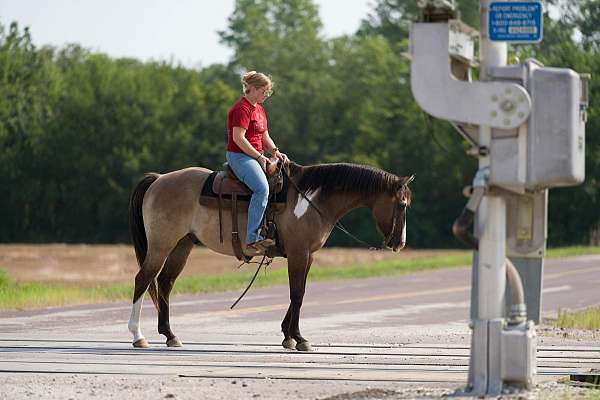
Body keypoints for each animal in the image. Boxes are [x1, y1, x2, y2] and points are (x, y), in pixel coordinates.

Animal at [126, 162, 412, 350]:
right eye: (402, 204)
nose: (399, 243)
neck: (311, 200)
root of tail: (159, 179)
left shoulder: (307, 255)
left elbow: (299, 292)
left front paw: (288, 335)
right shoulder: (298, 253)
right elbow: (297, 293)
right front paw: (299, 338)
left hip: (181, 246)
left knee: (165, 284)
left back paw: (170, 335)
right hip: (161, 245)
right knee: (143, 280)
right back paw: (138, 336)